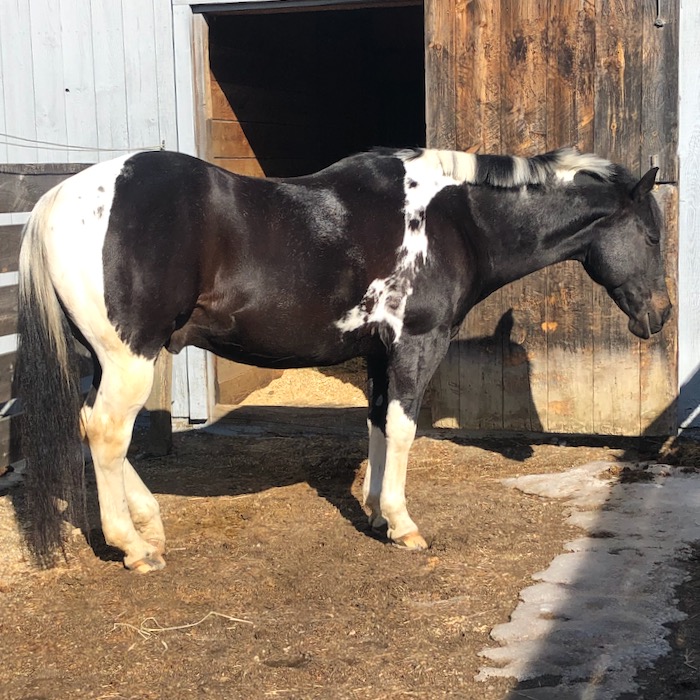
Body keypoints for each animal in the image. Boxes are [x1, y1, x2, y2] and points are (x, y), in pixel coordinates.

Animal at [16, 146, 671, 573]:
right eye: (652, 236)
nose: (660, 316)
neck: (454, 220)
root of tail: (59, 198)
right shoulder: (416, 344)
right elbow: (403, 429)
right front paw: (403, 526)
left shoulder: (379, 354)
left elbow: (378, 425)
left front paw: (378, 514)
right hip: (131, 357)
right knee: (106, 431)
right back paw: (132, 547)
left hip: (108, 359)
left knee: (94, 427)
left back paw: (148, 525)